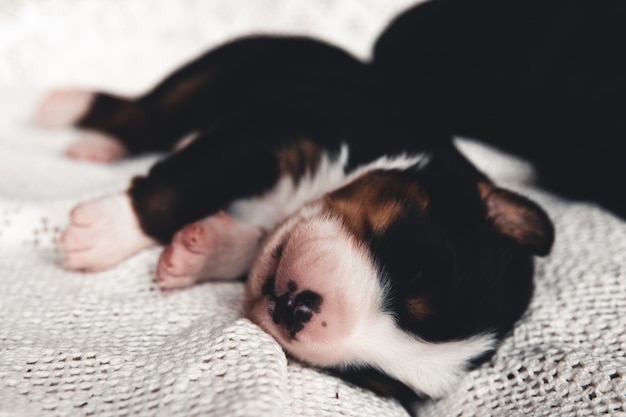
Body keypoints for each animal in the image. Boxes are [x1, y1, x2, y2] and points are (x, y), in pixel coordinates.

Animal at [36, 36, 552, 410]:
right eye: (415, 274)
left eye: (364, 377)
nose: (297, 312)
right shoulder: (272, 137)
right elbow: (180, 186)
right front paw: (105, 231)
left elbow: (248, 242)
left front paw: (198, 251)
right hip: (217, 68)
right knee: (144, 112)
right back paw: (70, 113)